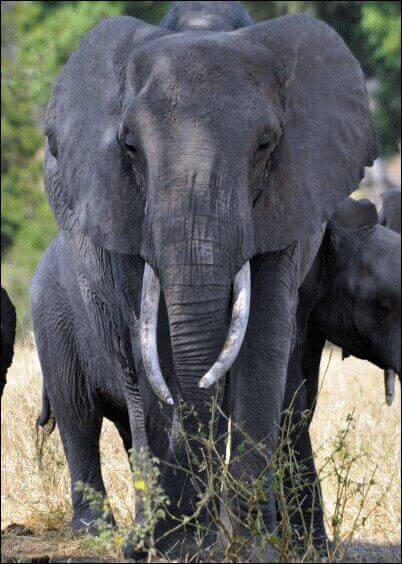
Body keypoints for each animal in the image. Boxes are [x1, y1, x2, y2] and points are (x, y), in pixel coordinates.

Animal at [30, 1, 376, 560]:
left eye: (265, 145)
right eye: (129, 147)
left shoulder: (292, 200)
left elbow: (264, 340)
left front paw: (251, 547)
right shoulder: (120, 209)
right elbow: (151, 348)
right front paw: (178, 547)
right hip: (52, 315)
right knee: (81, 411)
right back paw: (107, 534)